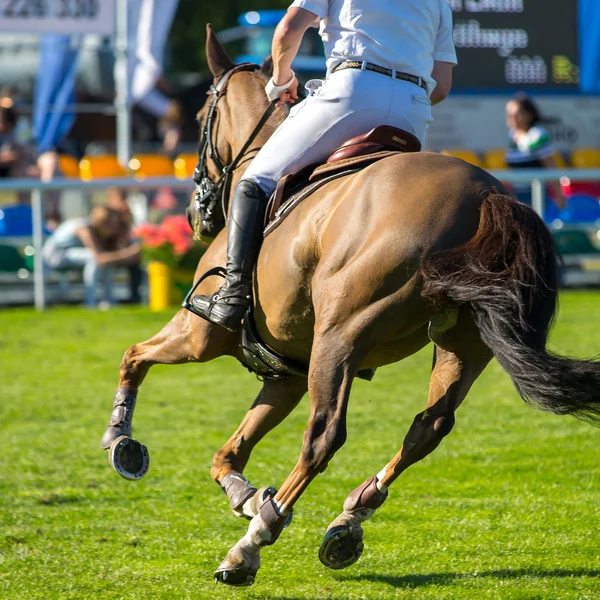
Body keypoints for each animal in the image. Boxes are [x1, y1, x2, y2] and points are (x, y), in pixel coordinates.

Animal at [101, 27, 600, 584]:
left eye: (198, 116)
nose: (196, 214)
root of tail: (489, 197)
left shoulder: (200, 335)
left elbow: (134, 357)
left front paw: (121, 442)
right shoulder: (287, 372)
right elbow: (227, 454)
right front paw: (247, 496)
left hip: (340, 336)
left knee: (323, 437)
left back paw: (253, 544)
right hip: (462, 344)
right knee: (428, 428)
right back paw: (348, 519)